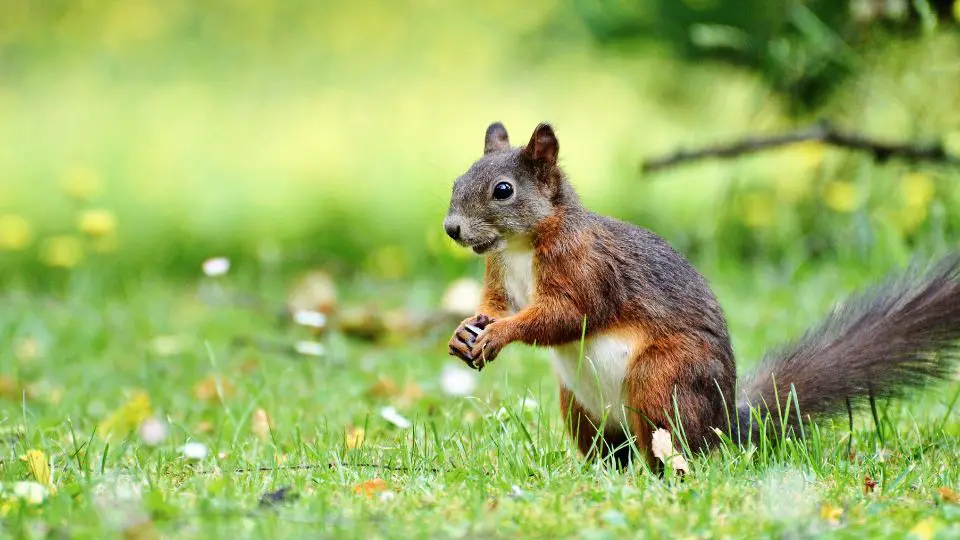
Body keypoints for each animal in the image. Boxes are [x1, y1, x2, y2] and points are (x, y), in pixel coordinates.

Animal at [442, 121, 960, 468]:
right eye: (457, 180)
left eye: (503, 190)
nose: (451, 229)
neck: (520, 247)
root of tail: (724, 425)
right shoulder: (497, 273)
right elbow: (494, 305)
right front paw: (465, 332)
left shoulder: (587, 269)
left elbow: (565, 315)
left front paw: (500, 334)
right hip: (579, 406)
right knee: (611, 451)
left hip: (662, 381)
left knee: (670, 446)